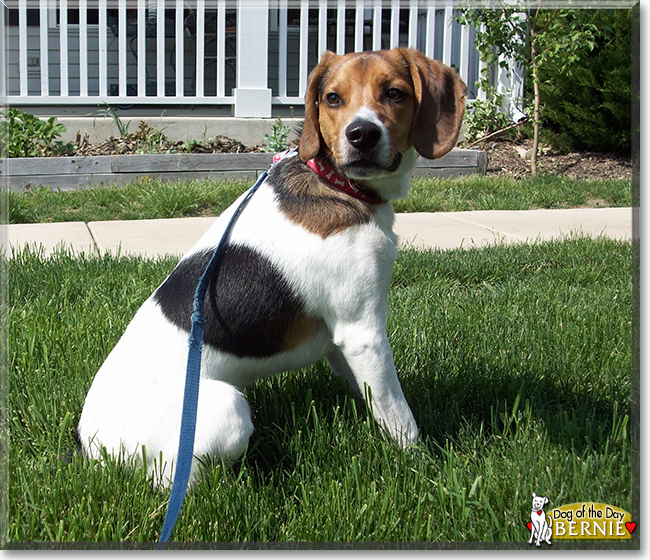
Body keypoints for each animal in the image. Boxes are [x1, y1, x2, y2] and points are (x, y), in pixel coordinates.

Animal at [78, 48, 464, 486]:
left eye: (395, 93)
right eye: (332, 98)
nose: (362, 134)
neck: (333, 181)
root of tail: (91, 446)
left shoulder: (341, 341)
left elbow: (371, 396)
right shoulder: (362, 331)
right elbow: (399, 414)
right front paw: (423, 466)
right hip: (225, 408)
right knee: (179, 481)